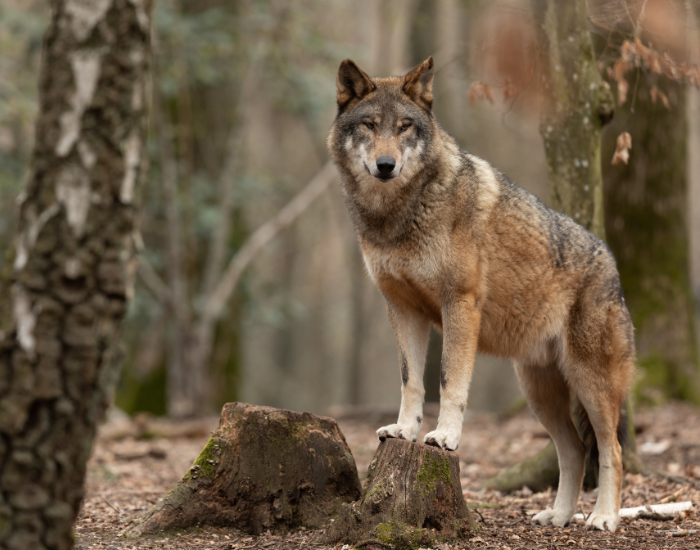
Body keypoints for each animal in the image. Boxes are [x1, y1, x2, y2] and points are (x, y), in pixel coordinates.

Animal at [327, 57, 636, 532]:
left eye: (404, 127)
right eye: (370, 125)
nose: (385, 164)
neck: (398, 215)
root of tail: (612, 261)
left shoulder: (460, 303)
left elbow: (449, 380)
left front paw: (445, 437)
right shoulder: (402, 308)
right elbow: (412, 381)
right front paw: (404, 431)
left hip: (591, 384)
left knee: (611, 451)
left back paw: (603, 518)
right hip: (539, 393)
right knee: (575, 451)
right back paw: (559, 516)